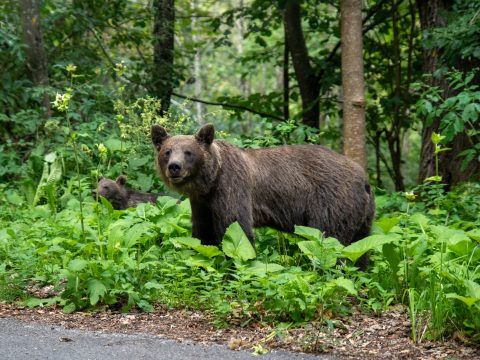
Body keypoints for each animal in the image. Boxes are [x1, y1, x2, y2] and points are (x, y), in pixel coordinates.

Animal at [152, 124, 374, 264]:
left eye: (188, 152)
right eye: (167, 151)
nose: (174, 167)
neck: (210, 182)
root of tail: (364, 178)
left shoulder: (232, 188)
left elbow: (236, 228)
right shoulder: (202, 203)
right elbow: (203, 234)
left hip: (331, 201)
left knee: (329, 240)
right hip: (363, 217)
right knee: (359, 247)